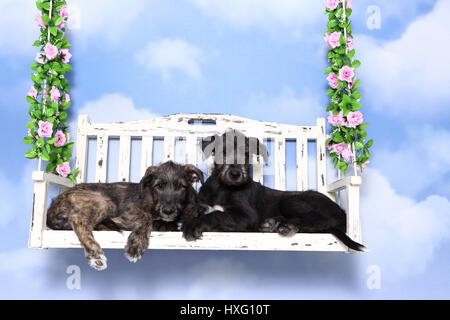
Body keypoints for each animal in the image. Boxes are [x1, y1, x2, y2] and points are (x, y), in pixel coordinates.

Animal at [48, 161, 204, 268]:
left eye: (181, 187)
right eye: (159, 186)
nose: (168, 211)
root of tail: (52, 207)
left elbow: (193, 208)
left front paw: (188, 222)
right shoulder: (129, 210)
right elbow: (145, 216)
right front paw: (136, 244)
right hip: (104, 202)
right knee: (78, 219)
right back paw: (95, 254)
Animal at [181, 129, 368, 251]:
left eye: (247, 153)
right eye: (223, 151)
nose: (235, 174)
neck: (223, 187)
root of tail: (342, 212)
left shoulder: (247, 216)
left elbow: (218, 214)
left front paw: (195, 225)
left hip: (292, 200)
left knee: (322, 220)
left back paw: (286, 225)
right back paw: (273, 223)